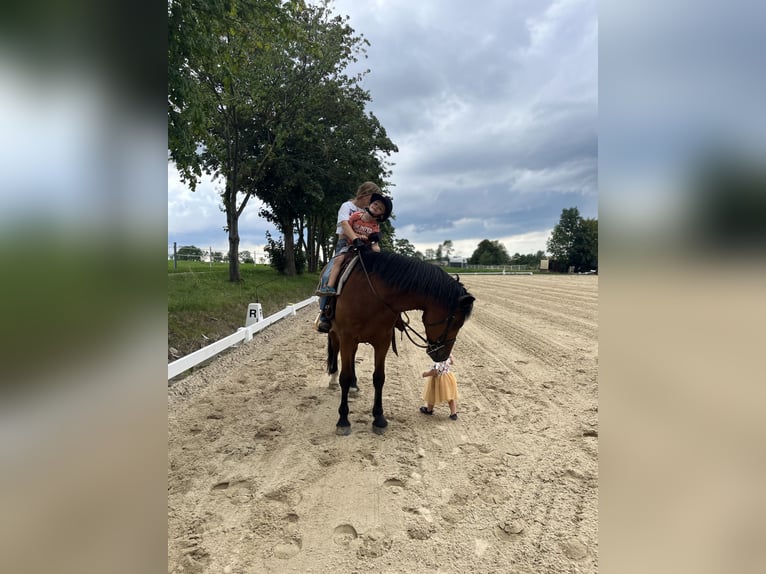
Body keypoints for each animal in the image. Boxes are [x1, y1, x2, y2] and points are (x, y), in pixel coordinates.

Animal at [326, 248, 475, 435]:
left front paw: (379, 419)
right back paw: (333, 379)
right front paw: (343, 420)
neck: (372, 294)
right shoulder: (347, 337)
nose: (443, 355)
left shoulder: (383, 340)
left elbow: (379, 378)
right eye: (456, 322)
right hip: (335, 334)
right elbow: (344, 378)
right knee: (335, 351)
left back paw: (354, 385)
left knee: (352, 357)